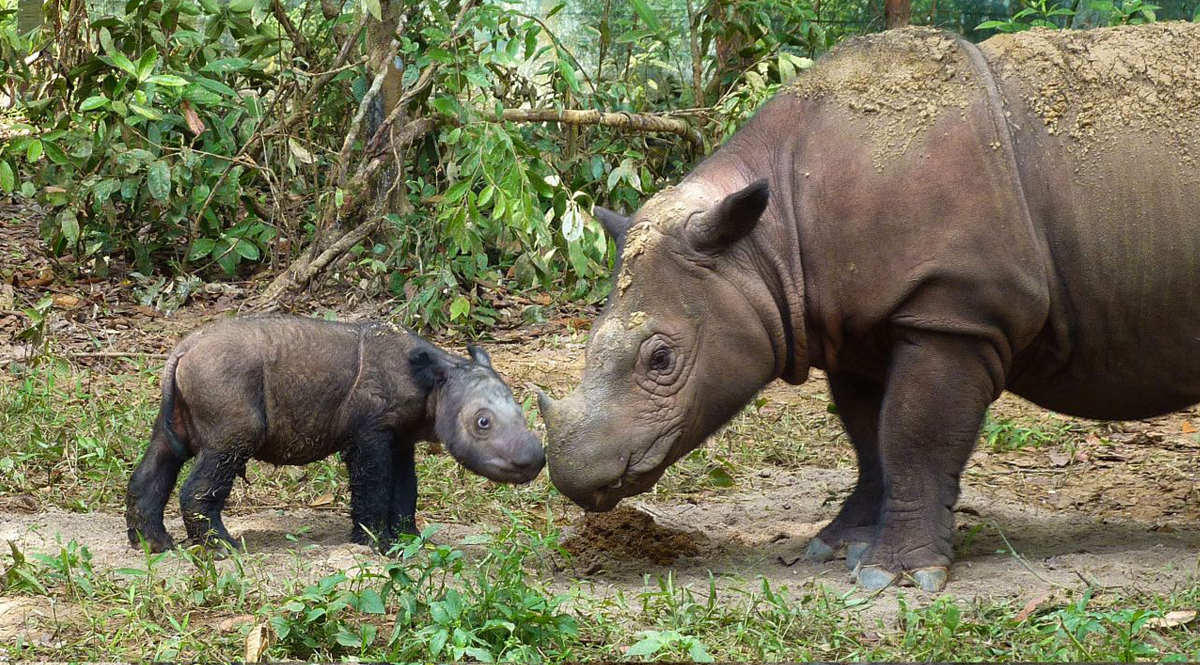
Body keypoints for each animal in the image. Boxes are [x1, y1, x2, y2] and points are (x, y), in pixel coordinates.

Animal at [126, 314, 544, 549]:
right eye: (483, 423)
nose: (535, 459)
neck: (436, 382)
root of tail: (182, 349)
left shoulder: (400, 438)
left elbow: (405, 488)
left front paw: (409, 540)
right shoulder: (370, 433)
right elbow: (374, 485)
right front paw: (378, 546)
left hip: (188, 388)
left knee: (163, 453)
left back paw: (153, 546)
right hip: (223, 380)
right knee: (226, 448)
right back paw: (224, 548)